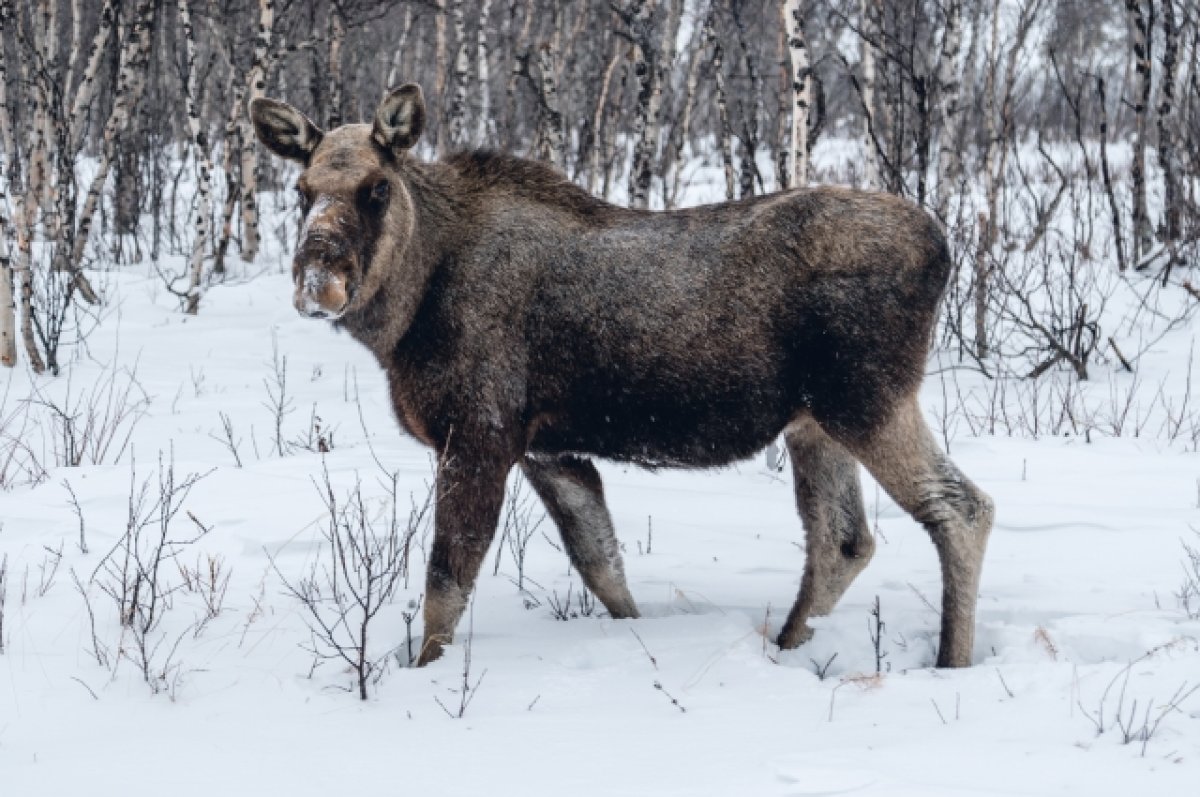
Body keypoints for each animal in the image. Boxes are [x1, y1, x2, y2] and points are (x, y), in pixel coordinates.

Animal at [250, 84, 993, 667]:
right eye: (302, 190)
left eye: (377, 188)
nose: (318, 282)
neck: (406, 313)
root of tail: (943, 246)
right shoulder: (550, 449)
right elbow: (603, 566)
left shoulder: (480, 434)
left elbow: (445, 586)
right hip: (814, 423)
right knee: (843, 540)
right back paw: (787, 646)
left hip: (866, 399)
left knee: (960, 508)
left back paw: (950, 661)